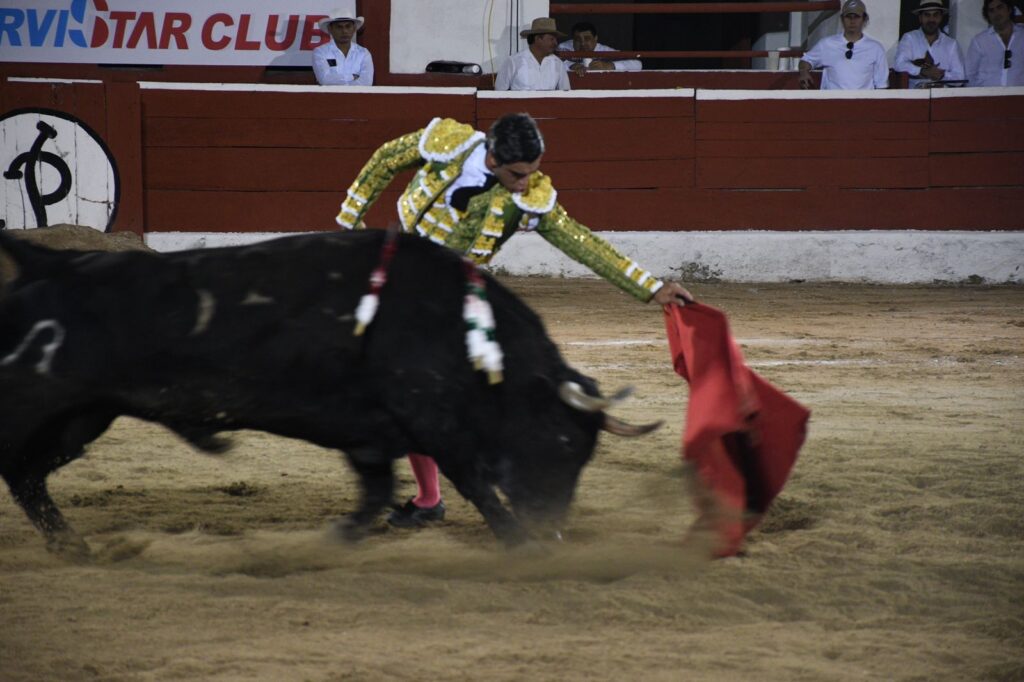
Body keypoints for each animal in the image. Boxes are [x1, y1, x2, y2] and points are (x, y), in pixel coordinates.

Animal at [0, 228, 655, 552]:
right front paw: (521, 545)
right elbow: (475, 484)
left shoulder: (372, 432)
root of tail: (53, 262)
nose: (552, 527)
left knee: (27, 474)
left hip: (84, 416)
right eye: (561, 441)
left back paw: (72, 546)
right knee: (18, 467)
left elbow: (377, 489)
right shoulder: (432, 423)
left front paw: (339, 537)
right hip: (35, 402)